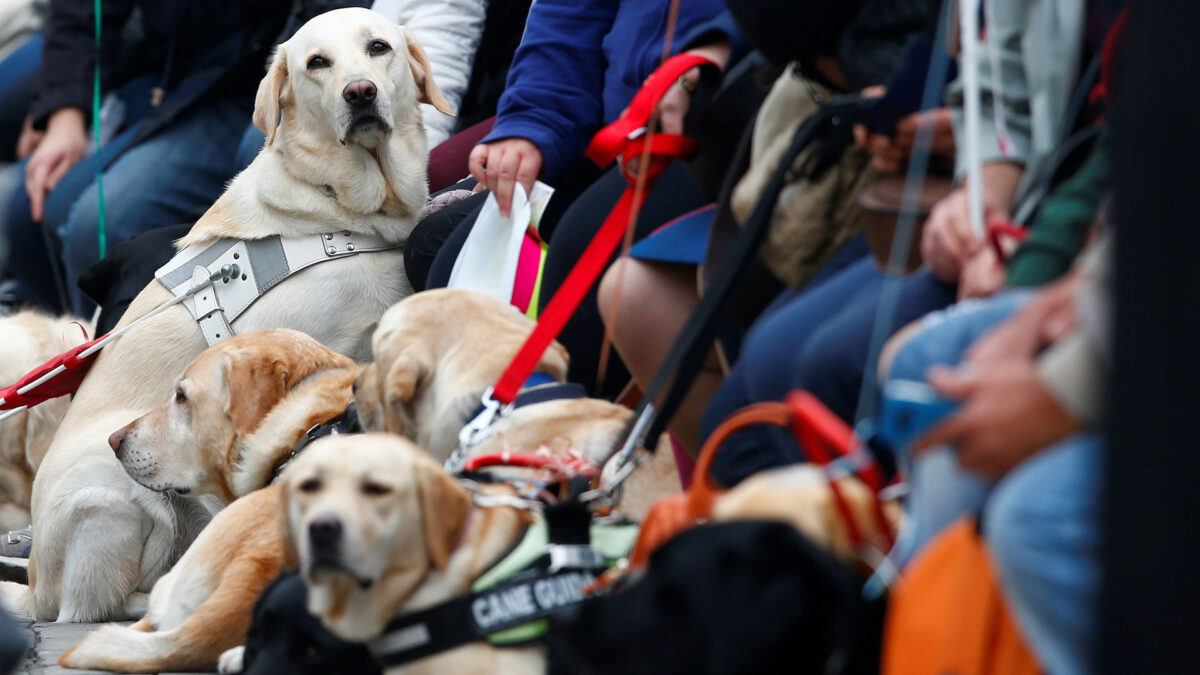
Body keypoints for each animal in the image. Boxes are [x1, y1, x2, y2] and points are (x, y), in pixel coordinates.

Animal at [10, 9, 451, 619]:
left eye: (378, 48)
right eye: (317, 62)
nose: (360, 92)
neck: (341, 216)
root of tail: (34, 582)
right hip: (115, 491)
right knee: (94, 603)